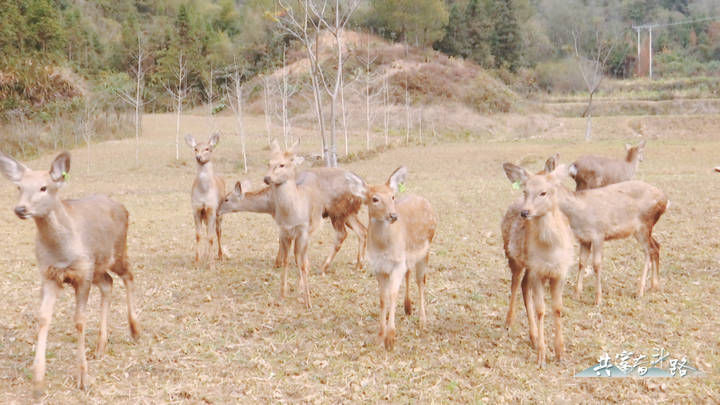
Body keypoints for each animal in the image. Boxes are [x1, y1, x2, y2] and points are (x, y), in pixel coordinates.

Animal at [0, 150, 140, 390]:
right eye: (19, 187)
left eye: (44, 187)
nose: (20, 209)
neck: (61, 252)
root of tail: (123, 208)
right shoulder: (49, 275)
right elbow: (43, 317)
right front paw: (38, 375)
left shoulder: (82, 273)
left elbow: (79, 321)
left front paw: (82, 377)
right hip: (97, 266)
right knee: (108, 283)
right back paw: (100, 346)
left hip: (117, 251)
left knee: (128, 275)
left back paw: (135, 330)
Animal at [183, 132, 225, 266]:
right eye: (195, 149)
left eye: (207, 149)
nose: (198, 157)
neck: (204, 192)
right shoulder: (196, 209)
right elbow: (198, 235)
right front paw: (197, 261)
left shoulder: (212, 209)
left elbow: (211, 237)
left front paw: (210, 265)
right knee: (208, 231)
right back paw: (206, 255)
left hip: (220, 213)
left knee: (218, 231)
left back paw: (220, 255)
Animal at [217, 174, 366, 272]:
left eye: (226, 199)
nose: (217, 211)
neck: (271, 204)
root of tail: (364, 188)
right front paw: (280, 262)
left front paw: (284, 263)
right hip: (348, 213)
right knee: (362, 230)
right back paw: (359, 264)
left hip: (337, 212)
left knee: (342, 235)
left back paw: (323, 267)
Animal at [344, 166, 436, 348]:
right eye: (374, 199)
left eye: (392, 196)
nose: (393, 215)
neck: (383, 248)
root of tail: (426, 202)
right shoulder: (378, 267)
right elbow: (382, 298)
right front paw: (380, 335)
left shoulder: (397, 264)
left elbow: (392, 294)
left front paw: (390, 338)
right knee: (409, 273)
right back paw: (408, 307)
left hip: (426, 249)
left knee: (421, 281)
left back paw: (422, 321)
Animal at [500, 160, 572, 366]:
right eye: (526, 191)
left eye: (544, 192)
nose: (525, 212)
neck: (550, 251)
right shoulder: (538, 271)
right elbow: (541, 310)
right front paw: (542, 355)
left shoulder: (560, 272)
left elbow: (558, 308)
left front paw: (560, 352)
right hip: (513, 257)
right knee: (516, 284)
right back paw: (509, 324)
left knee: (524, 286)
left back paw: (532, 337)